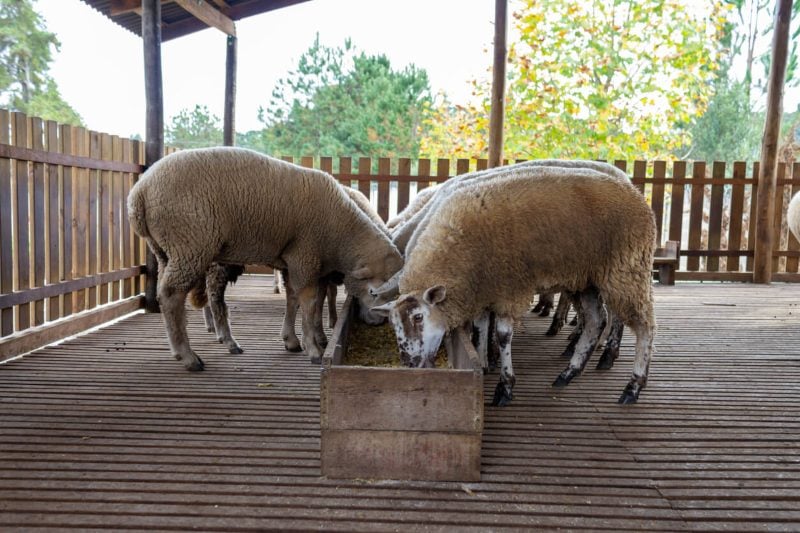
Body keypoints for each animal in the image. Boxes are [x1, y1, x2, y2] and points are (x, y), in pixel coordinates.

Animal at [129, 148, 404, 368]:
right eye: (374, 292)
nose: (378, 323)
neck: (341, 232)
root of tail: (139, 194)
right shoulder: (306, 256)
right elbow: (309, 302)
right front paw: (314, 348)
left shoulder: (293, 259)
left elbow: (292, 299)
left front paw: (291, 341)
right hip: (191, 245)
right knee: (175, 295)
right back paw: (188, 356)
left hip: (166, 250)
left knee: (174, 295)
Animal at [370, 166, 656, 404]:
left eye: (419, 317)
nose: (409, 363)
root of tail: (636, 194)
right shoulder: (484, 290)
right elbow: (481, 327)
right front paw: (484, 363)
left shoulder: (508, 288)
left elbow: (503, 335)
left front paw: (504, 386)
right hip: (586, 279)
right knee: (597, 320)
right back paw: (569, 372)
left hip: (625, 269)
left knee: (643, 325)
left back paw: (632, 385)